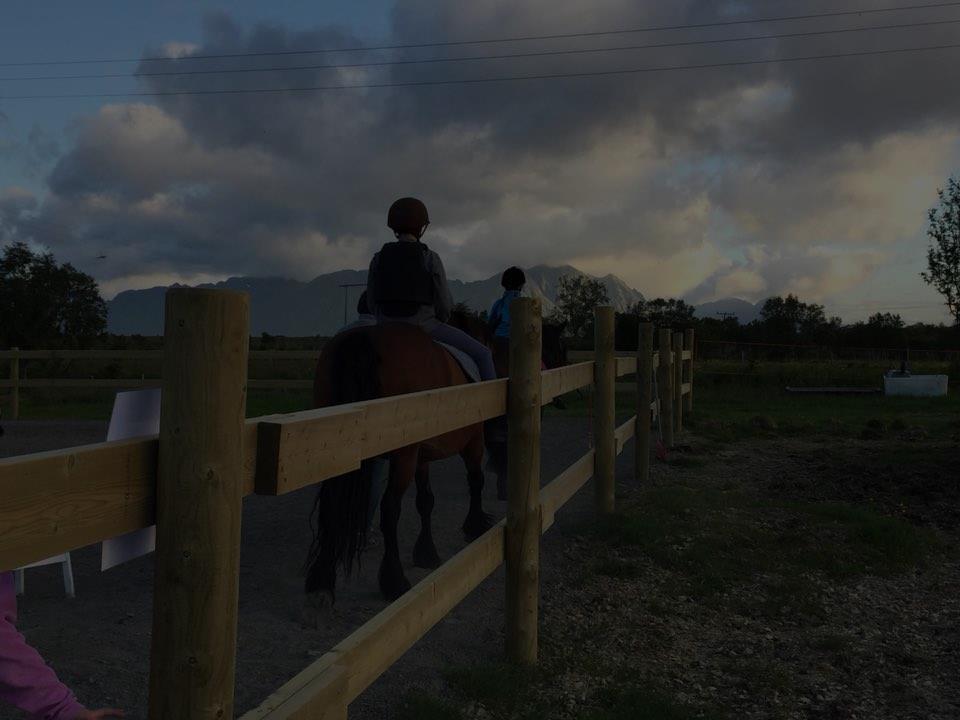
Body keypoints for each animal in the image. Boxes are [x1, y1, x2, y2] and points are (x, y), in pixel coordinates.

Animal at [306, 318, 496, 604]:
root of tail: (367, 338)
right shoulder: (472, 442)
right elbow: (476, 481)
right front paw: (475, 525)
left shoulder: (422, 456)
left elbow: (425, 500)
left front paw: (426, 552)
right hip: (403, 453)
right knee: (390, 508)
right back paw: (393, 580)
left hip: (339, 451)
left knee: (332, 502)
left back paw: (322, 579)